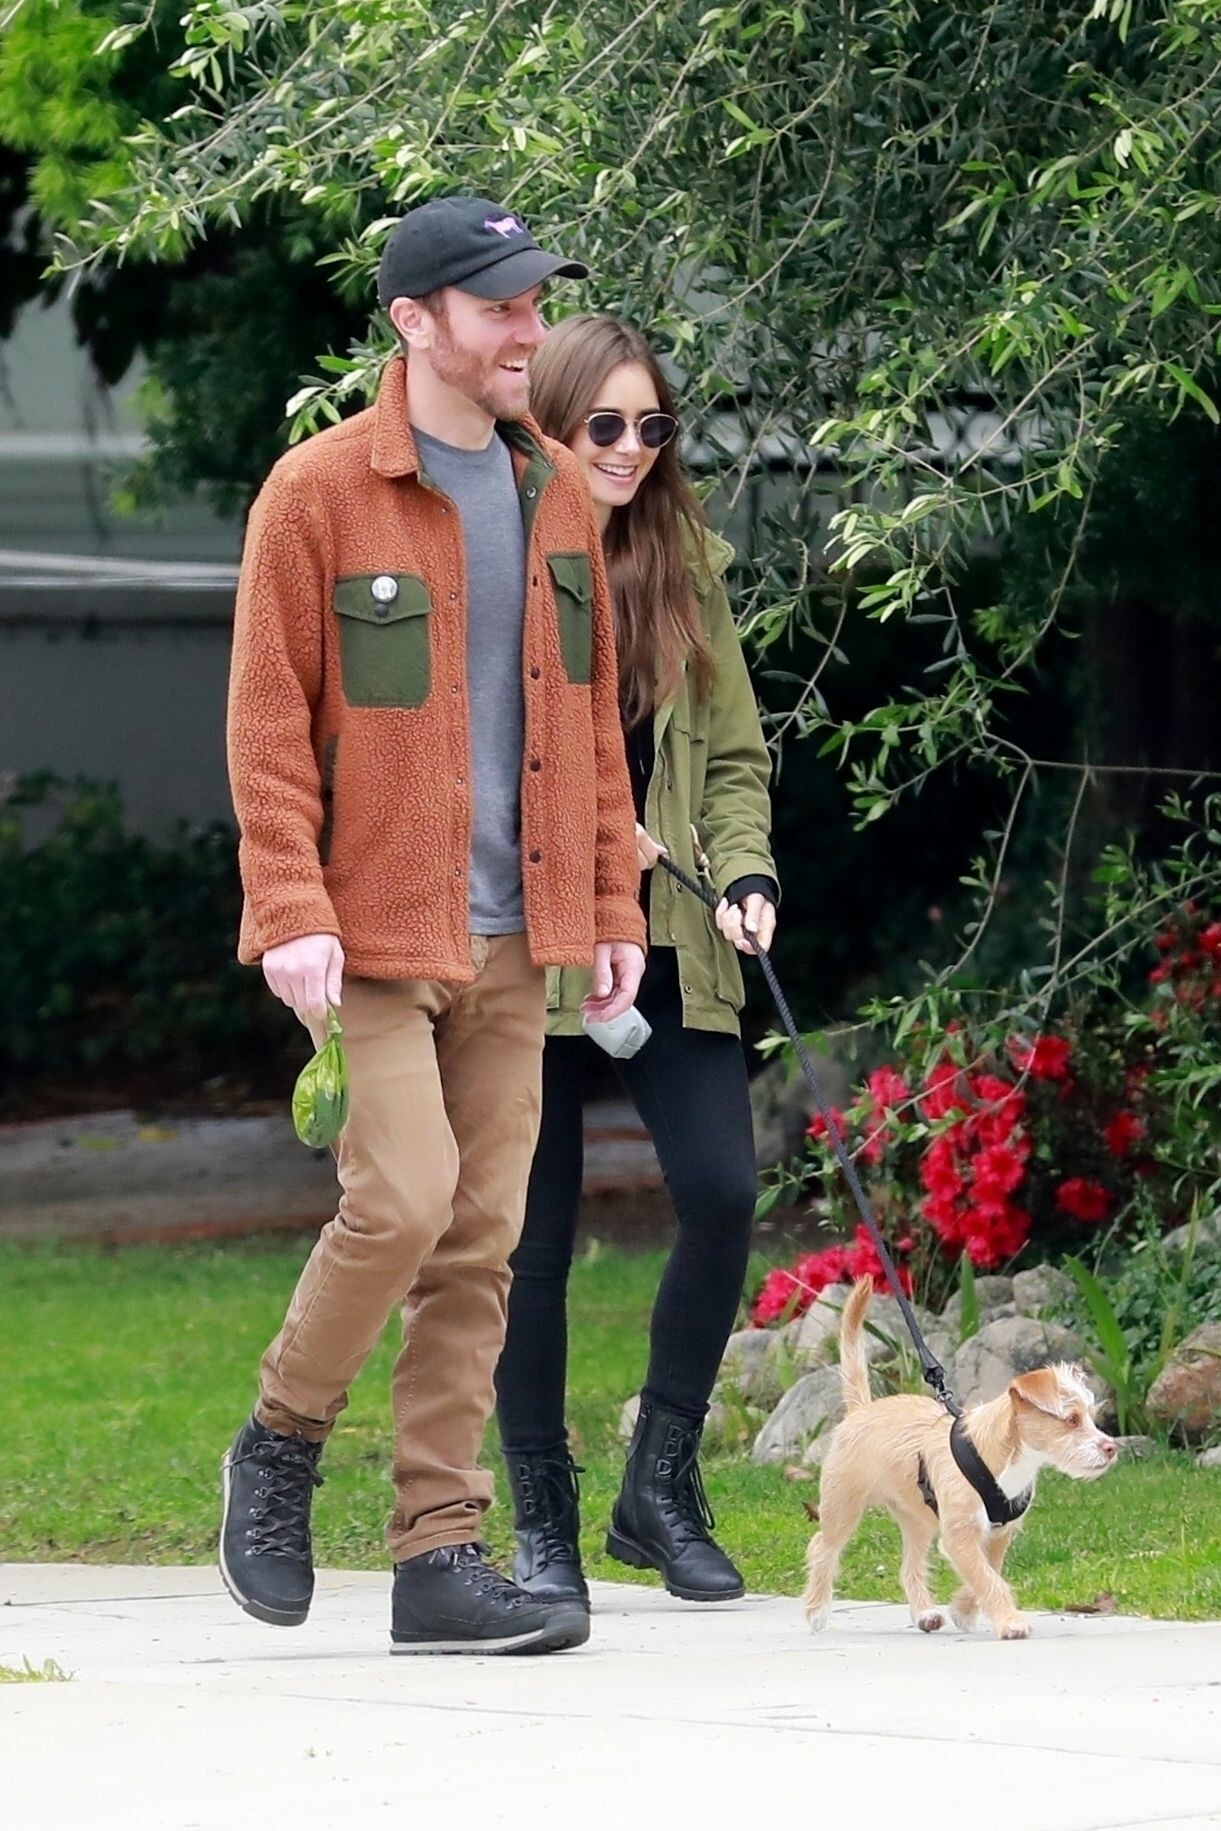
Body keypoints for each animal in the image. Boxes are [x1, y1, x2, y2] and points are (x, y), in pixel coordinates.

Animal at [802, 1278, 1117, 1640]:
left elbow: (986, 1574)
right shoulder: (960, 1536)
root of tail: (861, 1409)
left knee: (909, 1566)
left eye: (1091, 1417)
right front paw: (1010, 1622)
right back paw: (816, 1610)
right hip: (842, 1507)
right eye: (1071, 1420)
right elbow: (987, 1578)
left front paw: (964, 1611)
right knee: (822, 1546)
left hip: (917, 1520)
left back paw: (924, 1613)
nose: (1111, 1448)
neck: (1004, 1461)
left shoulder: (996, 1535)